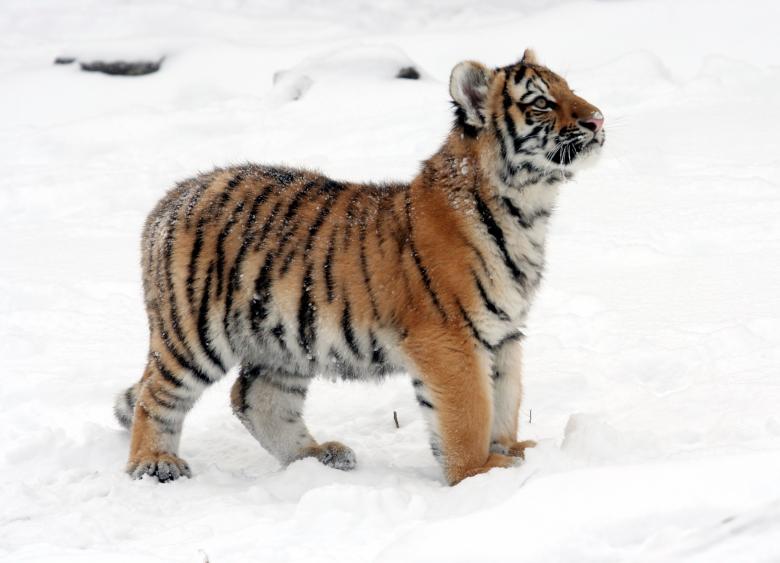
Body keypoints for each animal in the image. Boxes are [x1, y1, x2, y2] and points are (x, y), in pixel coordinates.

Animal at [114, 49, 605, 485]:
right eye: (541, 102)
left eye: (569, 89)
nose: (598, 120)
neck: (528, 210)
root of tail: (172, 197)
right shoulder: (451, 338)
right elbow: (469, 412)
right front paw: (479, 474)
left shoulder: (504, 334)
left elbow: (506, 399)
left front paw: (514, 452)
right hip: (193, 332)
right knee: (156, 395)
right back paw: (154, 464)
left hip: (285, 340)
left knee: (255, 397)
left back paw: (317, 457)